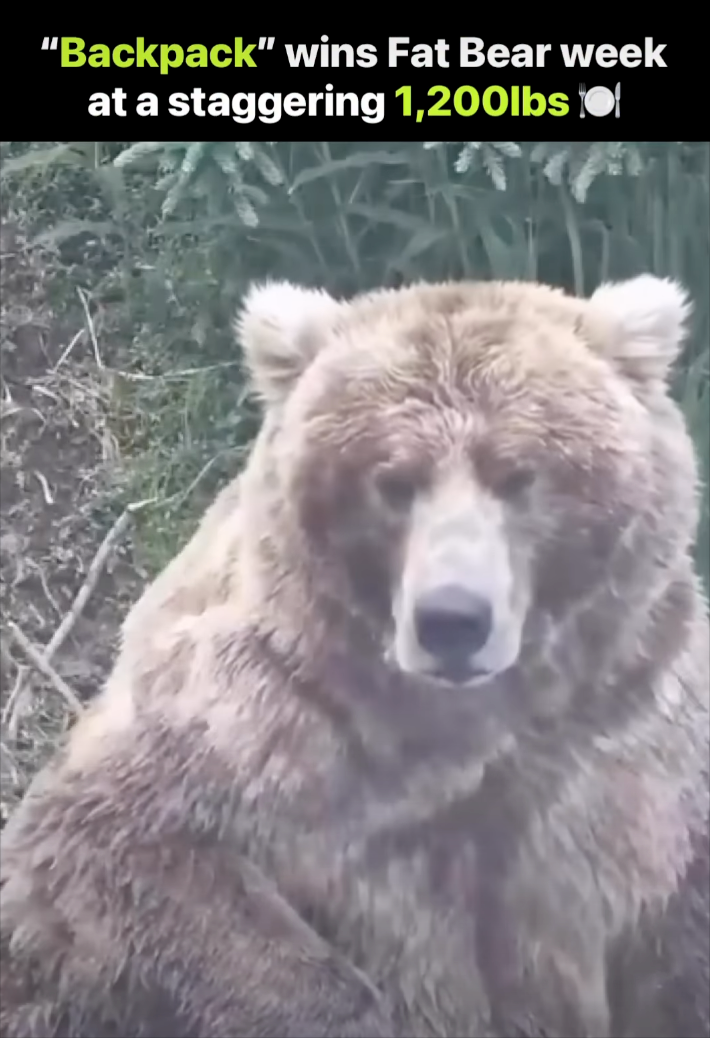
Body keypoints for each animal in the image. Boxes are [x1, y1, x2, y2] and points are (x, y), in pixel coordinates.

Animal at [1, 275, 708, 1038]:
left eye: (518, 474)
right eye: (393, 480)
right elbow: (119, 843)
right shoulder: (275, 716)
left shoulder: (630, 734)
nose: (452, 620)